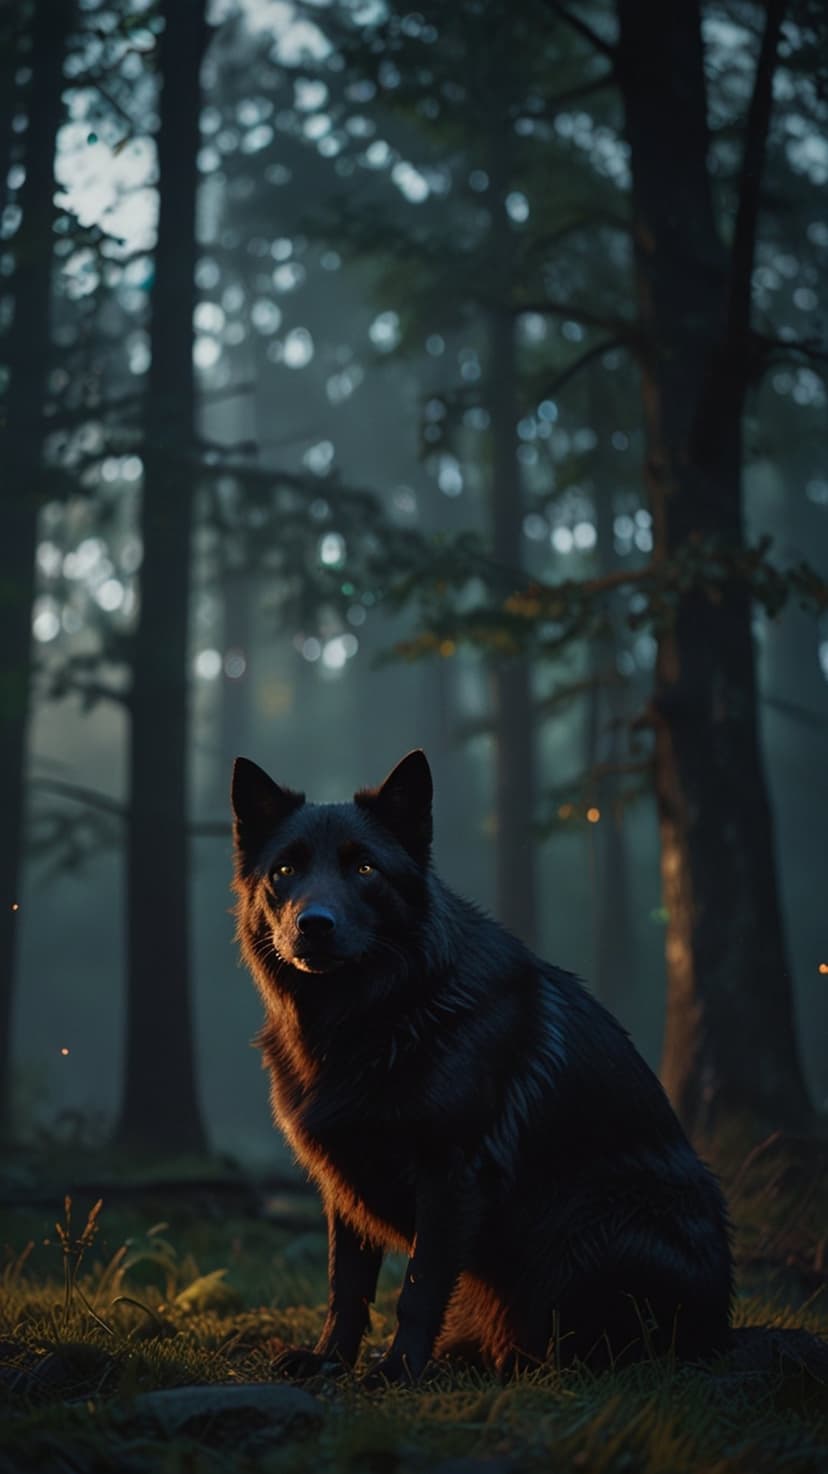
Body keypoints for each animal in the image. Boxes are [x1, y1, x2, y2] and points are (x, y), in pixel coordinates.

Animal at [231, 748, 733, 1382]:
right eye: (284, 871)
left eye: (365, 869)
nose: (313, 924)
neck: (375, 1017)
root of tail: (723, 1330)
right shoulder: (343, 1178)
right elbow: (346, 1285)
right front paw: (329, 1361)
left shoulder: (451, 1172)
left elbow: (417, 1288)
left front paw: (398, 1370)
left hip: (588, 1227)